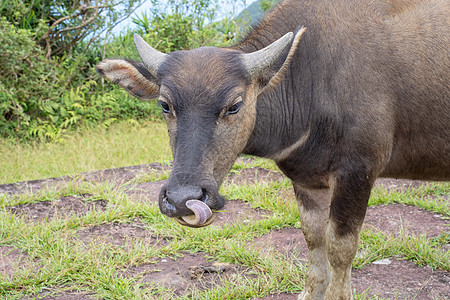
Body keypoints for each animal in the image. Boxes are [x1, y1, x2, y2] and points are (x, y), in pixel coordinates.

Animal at [96, 0, 448, 298]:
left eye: (234, 105)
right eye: (165, 105)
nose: (183, 199)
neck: (311, 82)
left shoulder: (358, 172)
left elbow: (341, 249)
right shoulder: (307, 180)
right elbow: (314, 239)